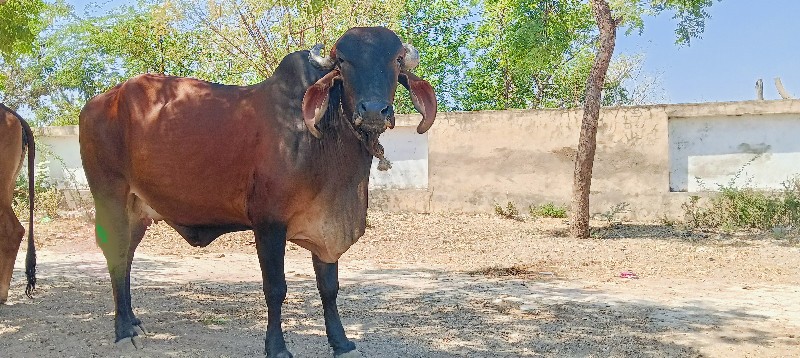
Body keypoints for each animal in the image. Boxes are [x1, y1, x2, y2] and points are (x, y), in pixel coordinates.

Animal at [79, 26, 438, 356]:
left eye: (396, 60)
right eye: (343, 62)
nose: (374, 111)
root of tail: (102, 100)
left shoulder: (324, 225)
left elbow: (329, 286)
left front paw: (341, 342)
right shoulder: (268, 223)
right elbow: (275, 288)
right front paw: (277, 347)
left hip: (138, 209)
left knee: (127, 257)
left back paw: (133, 321)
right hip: (110, 196)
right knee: (117, 255)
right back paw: (124, 331)